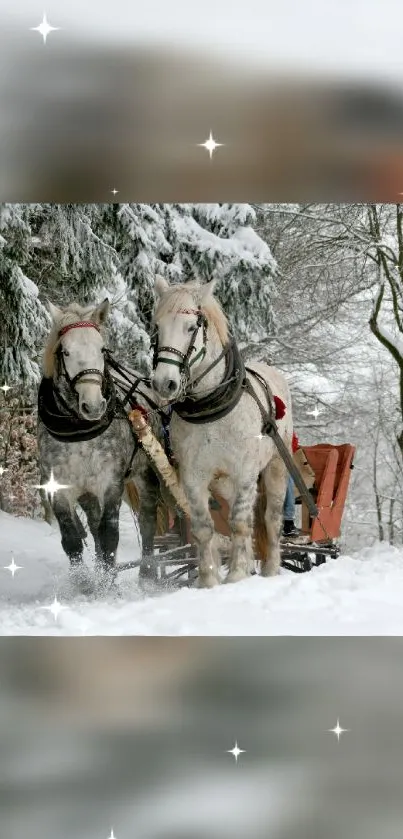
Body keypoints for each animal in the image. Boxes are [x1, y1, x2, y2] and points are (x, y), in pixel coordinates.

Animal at [152, 278, 294, 588]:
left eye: (191, 327)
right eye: (157, 327)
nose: (164, 383)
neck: (211, 406)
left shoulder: (245, 471)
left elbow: (240, 523)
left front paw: (237, 574)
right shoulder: (193, 477)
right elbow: (204, 528)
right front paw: (208, 580)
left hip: (276, 466)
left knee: (271, 519)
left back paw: (270, 569)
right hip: (224, 484)